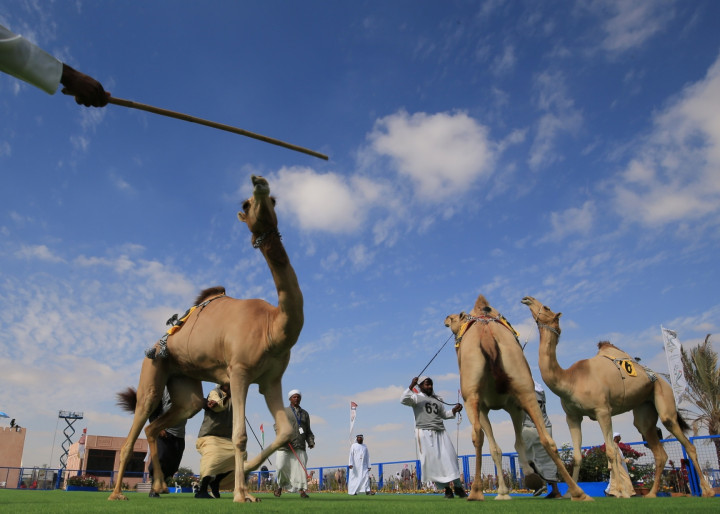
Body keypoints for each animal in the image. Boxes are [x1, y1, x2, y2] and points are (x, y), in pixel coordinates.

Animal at [108, 175, 303, 503]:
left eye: (274, 200)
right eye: (245, 204)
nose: (259, 182)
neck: (272, 326)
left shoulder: (271, 380)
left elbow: (286, 433)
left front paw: (245, 477)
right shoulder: (239, 372)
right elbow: (239, 435)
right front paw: (241, 494)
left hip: (185, 384)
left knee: (161, 423)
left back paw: (159, 487)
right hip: (152, 370)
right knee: (137, 423)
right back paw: (117, 493)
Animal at [444, 294, 590, 501]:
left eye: (455, 317)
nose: (446, 319)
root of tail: (487, 332)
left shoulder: (492, 406)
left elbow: (498, 447)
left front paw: (504, 492)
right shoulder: (512, 405)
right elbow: (510, 445)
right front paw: (521, 483)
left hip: (476, 396)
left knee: (477, 435)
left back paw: (476, 492)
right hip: (524, 390)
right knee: (547, 439)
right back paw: (578, 492)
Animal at [521, 296, 715, 498]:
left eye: (547, 307)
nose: (527, 299)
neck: (571, 379)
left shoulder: (602, 410)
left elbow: (611, 451)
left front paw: (621, 493)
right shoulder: (572, 416)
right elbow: (577, 456)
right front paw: (572, 494)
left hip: (664, 395)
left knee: (684, 440)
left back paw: (707, 491)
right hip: (644, 407)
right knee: (657, 449)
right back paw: (651, 494)